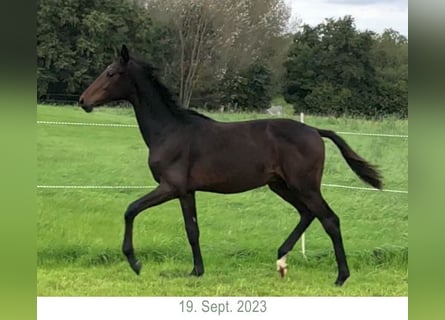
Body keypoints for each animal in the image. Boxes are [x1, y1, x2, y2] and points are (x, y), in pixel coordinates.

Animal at [78, 44, 380, 284]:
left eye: (111, 73)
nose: (83, 101)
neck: (170, 131)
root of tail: (316, 131)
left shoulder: (170, 187)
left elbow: (130, 210)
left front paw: (135, 263)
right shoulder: (186, 192)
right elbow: (192, 230)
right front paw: (196, 271)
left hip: (303, 186)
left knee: (329, 219)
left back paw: (341, 276)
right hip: (280, 185)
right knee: (307, 214)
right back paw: (281, 260)